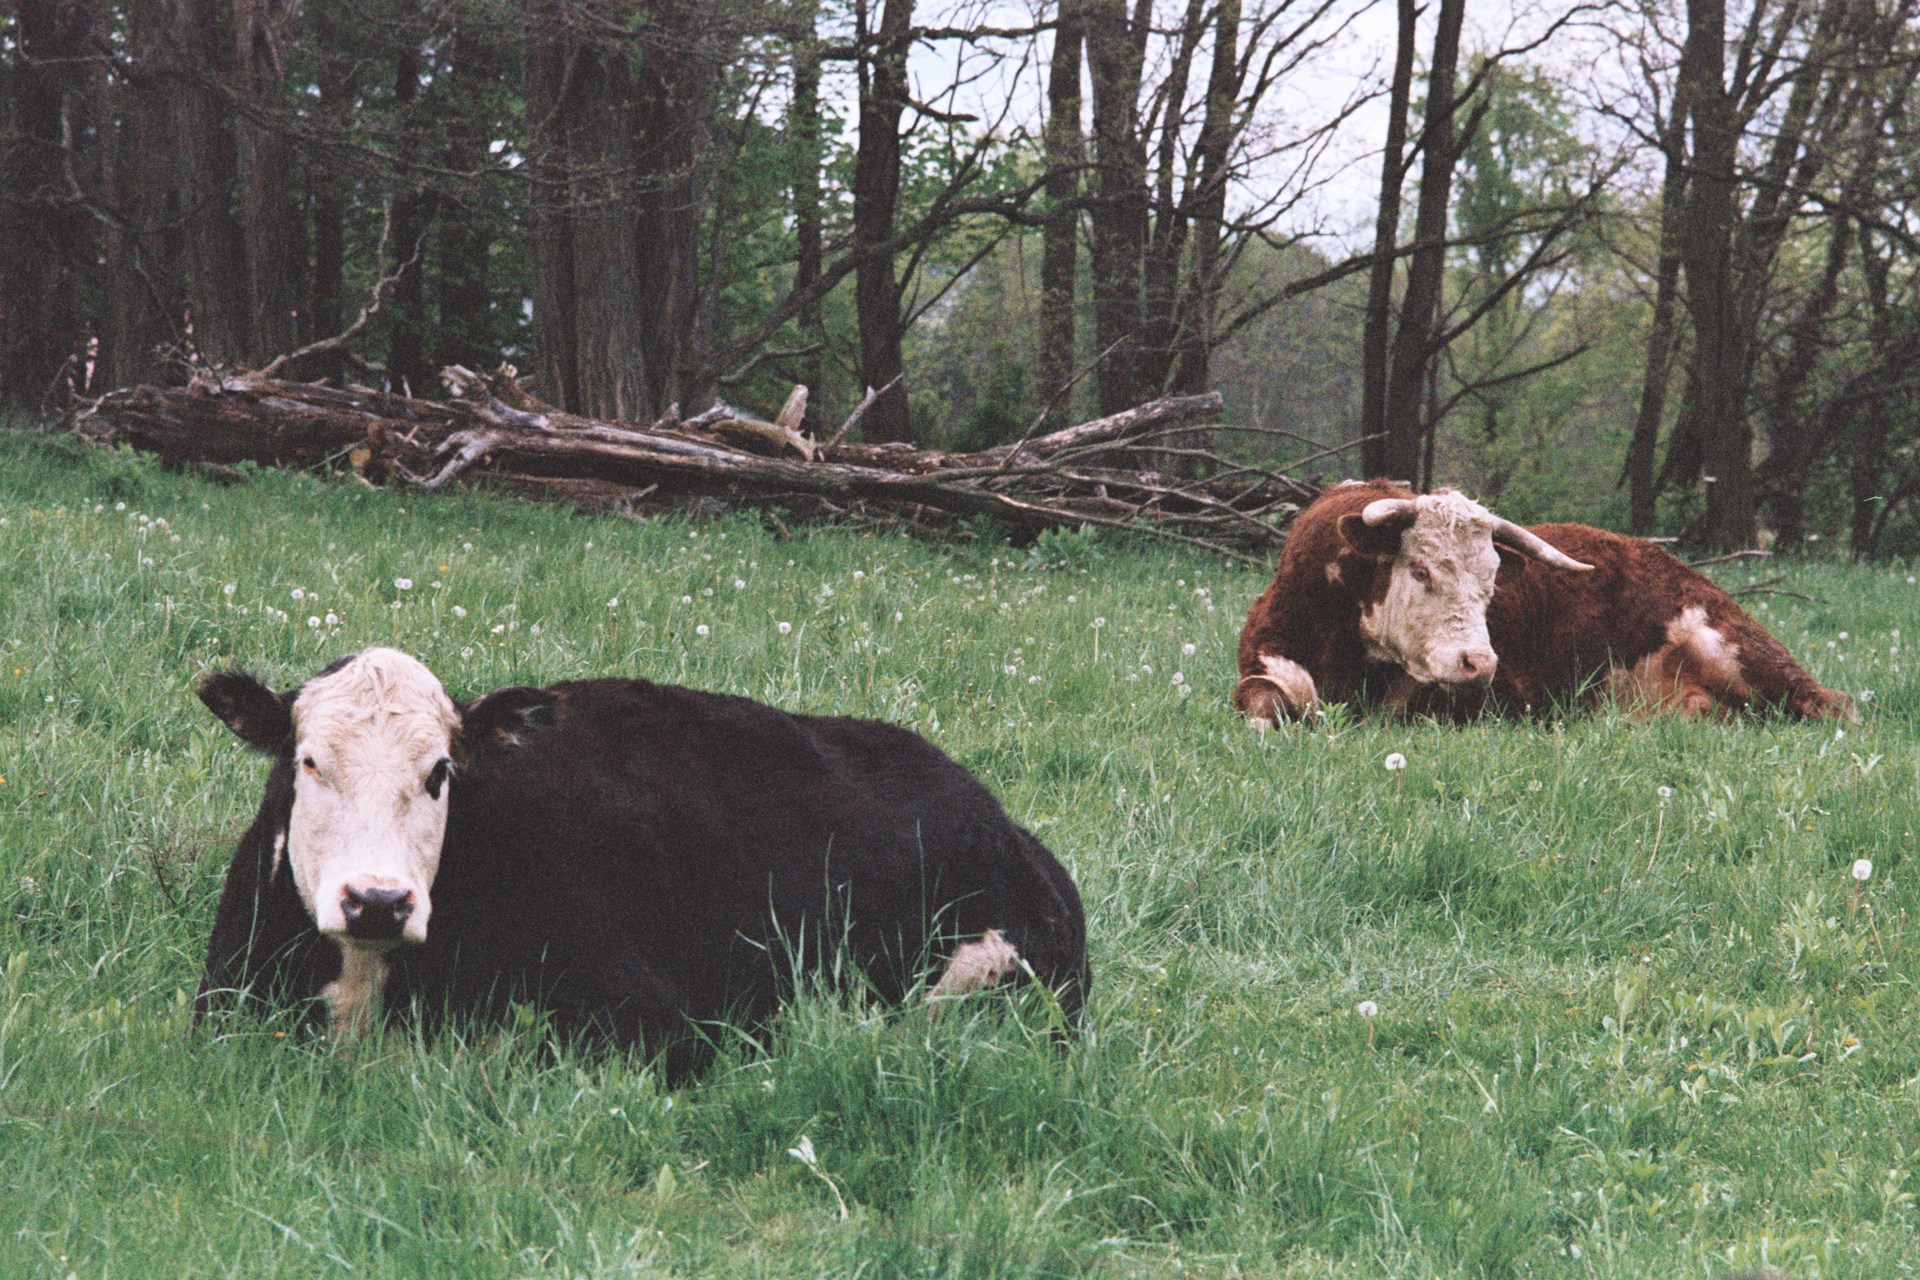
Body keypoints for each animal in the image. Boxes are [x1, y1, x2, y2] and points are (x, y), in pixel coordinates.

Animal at [1234, 480, 1853, 725]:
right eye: (1420, 569)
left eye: (1492, 583)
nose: (1479, 662)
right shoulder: (1262, 666)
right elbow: (1265, 705)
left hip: (1733, 647)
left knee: (1832, 703)